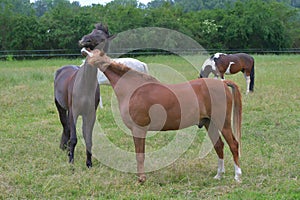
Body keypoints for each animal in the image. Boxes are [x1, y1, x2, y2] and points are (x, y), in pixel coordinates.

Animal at [83, 48, 243, 183]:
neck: (133, 89)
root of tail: (223, 83)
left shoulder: (139, 129)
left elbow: (140, 155)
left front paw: (141, 179)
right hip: (209, 123)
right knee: (219, 146)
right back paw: (219, 175)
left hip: (223, 123)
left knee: (233, 145)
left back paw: (237, 176)